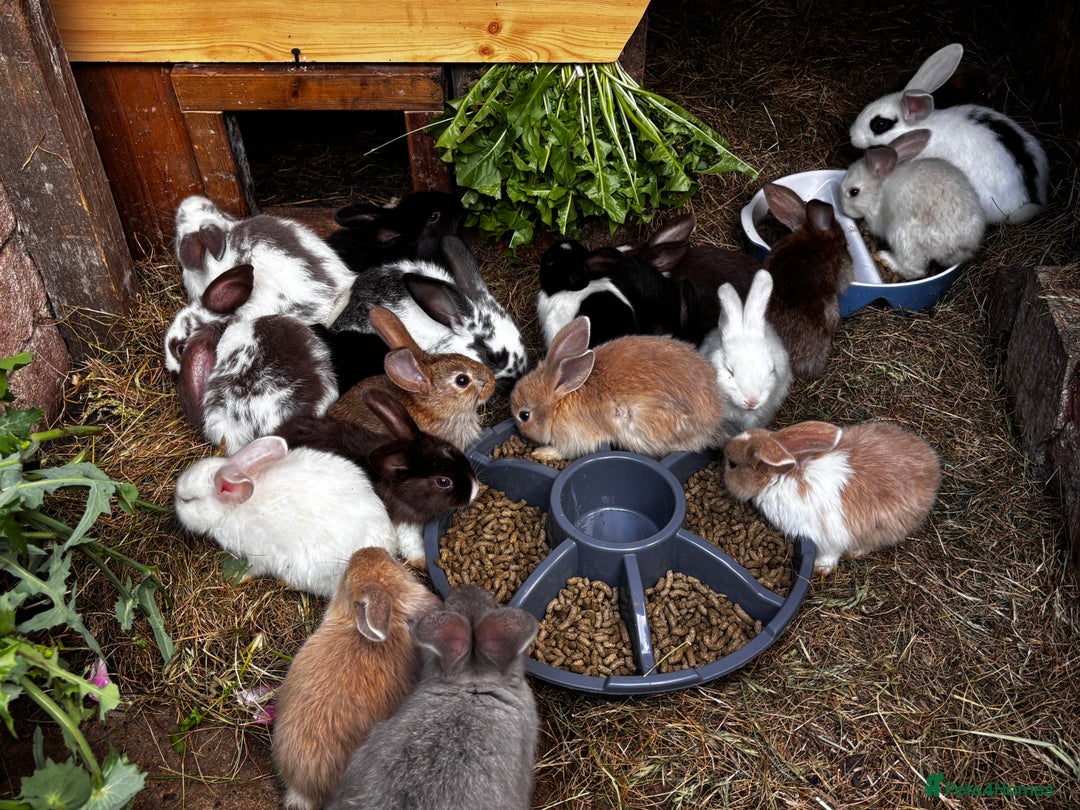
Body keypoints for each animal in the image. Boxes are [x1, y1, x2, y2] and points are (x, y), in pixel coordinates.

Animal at [173, 435, 402, 596]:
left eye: (188, 500)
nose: (174, 502)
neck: (235, 508)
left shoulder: (258, 553)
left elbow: (254, 569)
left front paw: (239, 578)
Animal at [509, 316, 726, 461]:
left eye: (524, 415)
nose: (520, 431)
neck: (560, 400)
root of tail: (713, 421)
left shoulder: (574, 436)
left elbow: (565, 450)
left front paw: (542, 452)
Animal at [723, 420, 942, 573]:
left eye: (732, 464)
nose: (722, 456)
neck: (781, 476)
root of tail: (933, 470)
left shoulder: (827, 536)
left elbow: (830, 553)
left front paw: (821, 568)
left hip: (884, 526)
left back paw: (855, 552)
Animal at [839, 129, 987, 280]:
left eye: (854, 192)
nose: (842, 209)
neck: (878, 189)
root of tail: (962, 245)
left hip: (902, 237)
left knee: (914, 270)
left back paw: (887, 259)